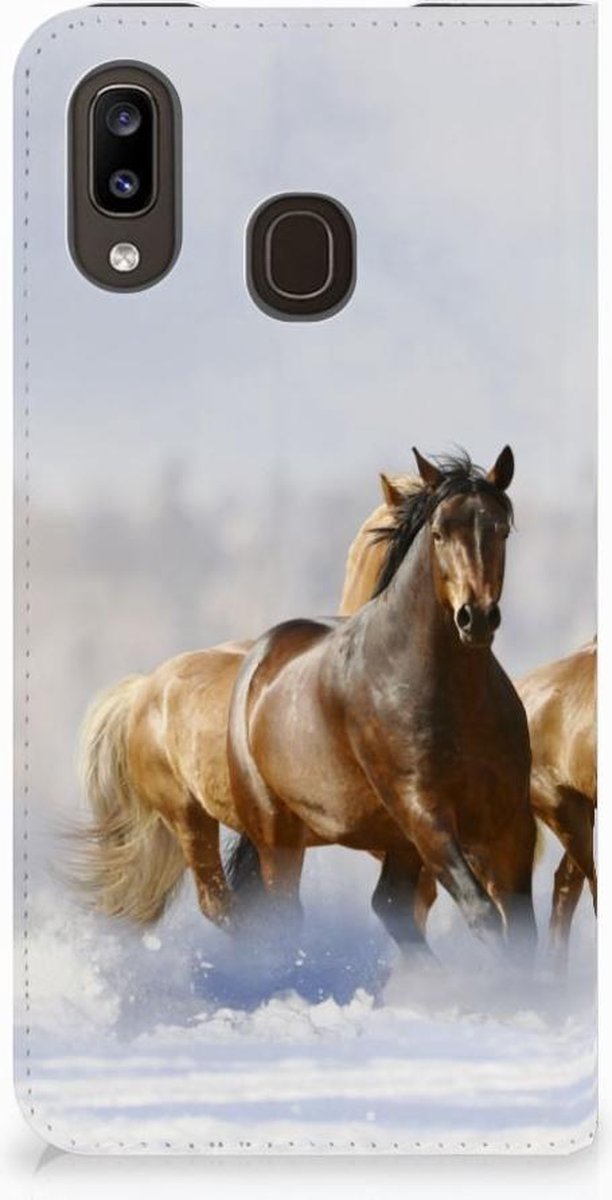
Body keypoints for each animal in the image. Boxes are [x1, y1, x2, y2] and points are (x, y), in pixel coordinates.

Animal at [226, 447, 537, 956]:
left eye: (500, 529)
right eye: (438, 532)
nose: (476, 617)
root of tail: (261, 658)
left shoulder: (510, 821)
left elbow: (523, 930)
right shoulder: (424, 813)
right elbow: (483, 914)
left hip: (396, 842)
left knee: (391, 906)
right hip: (278, 834)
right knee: (285, 916)